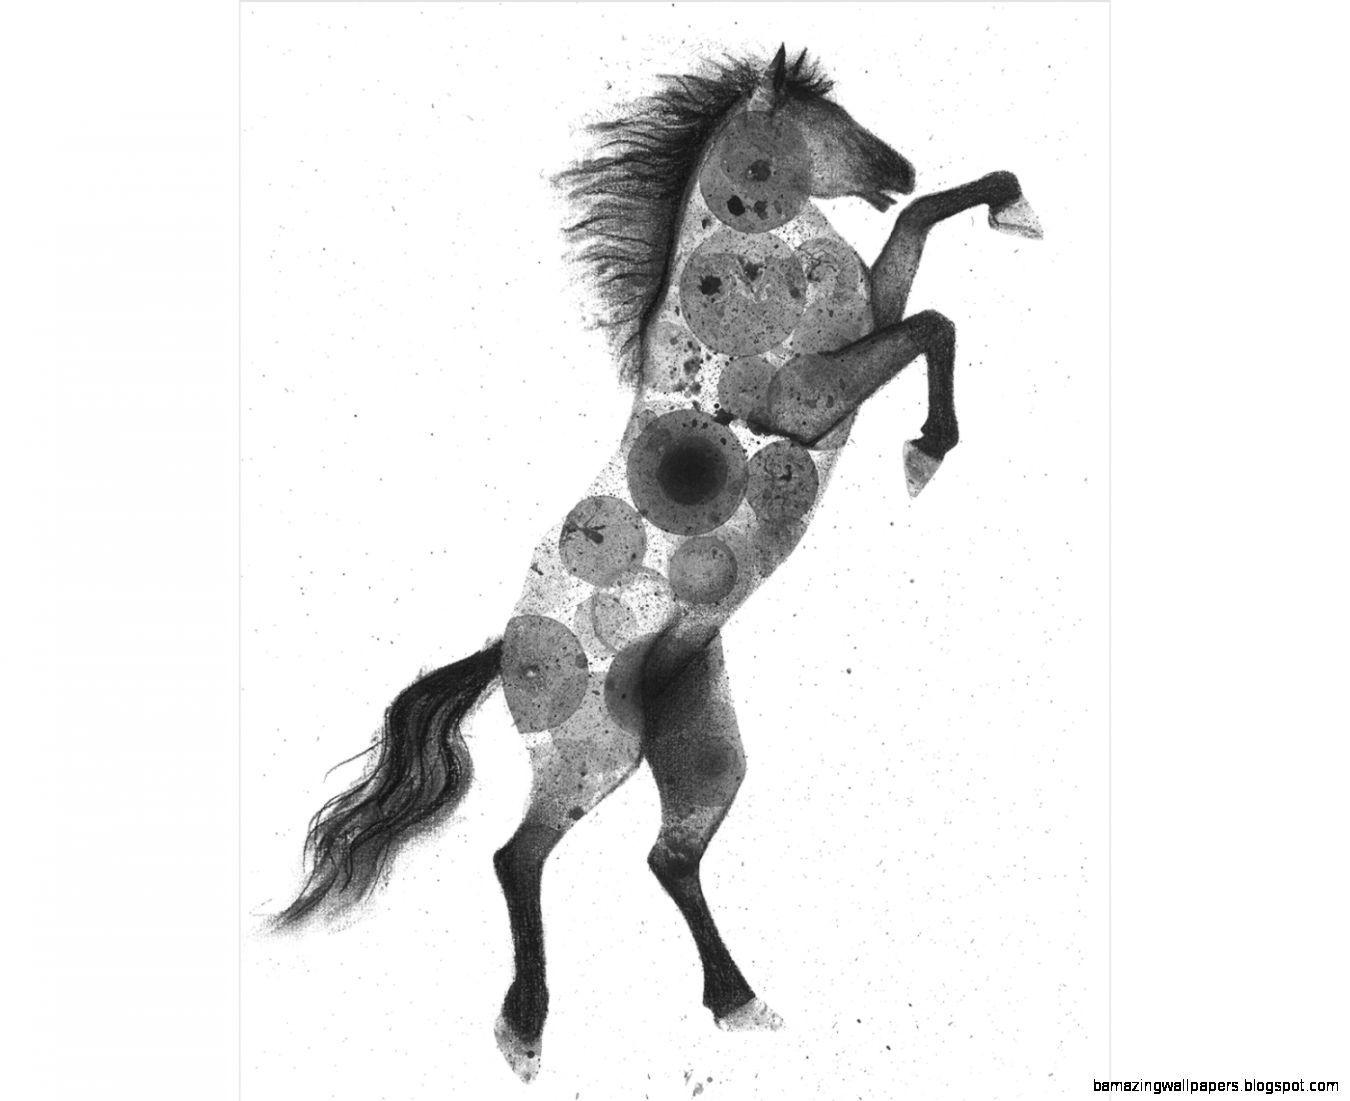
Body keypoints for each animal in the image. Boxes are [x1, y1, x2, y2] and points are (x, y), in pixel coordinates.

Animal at [275, 45, 1041, 1082]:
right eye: (822, 119)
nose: (900, 165)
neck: (751, 264)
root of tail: (500, 651)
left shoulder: (861, 326)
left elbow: (919, 261)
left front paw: (1010, 204)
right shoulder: (810, 397)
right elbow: (931, 320)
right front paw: (927, 451)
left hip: (702, 745)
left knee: (669, 857)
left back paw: (739, 1000)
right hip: (596, 751)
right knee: (519, 856)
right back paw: (525, 1031)